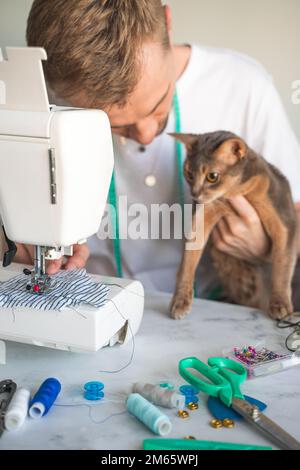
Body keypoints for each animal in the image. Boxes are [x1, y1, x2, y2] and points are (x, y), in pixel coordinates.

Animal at [169, 132, 298, 322]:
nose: (194, 194)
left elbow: (283, 263)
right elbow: (187, 262)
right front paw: (180, 301)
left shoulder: (284, 218)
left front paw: (280, 304)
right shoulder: (201, 216)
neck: (232, 193)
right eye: (189, 174)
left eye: (212, 176)